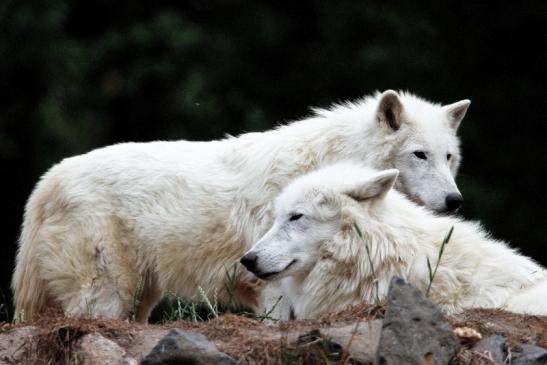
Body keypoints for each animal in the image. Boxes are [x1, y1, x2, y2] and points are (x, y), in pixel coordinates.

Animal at [11, 89, 470, 320]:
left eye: (448, 157)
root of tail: (46, 181)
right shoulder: (274, 289)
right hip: (106, 297)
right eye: (419, 155)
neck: (331, 161)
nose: (454, 200)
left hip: (141, 298)